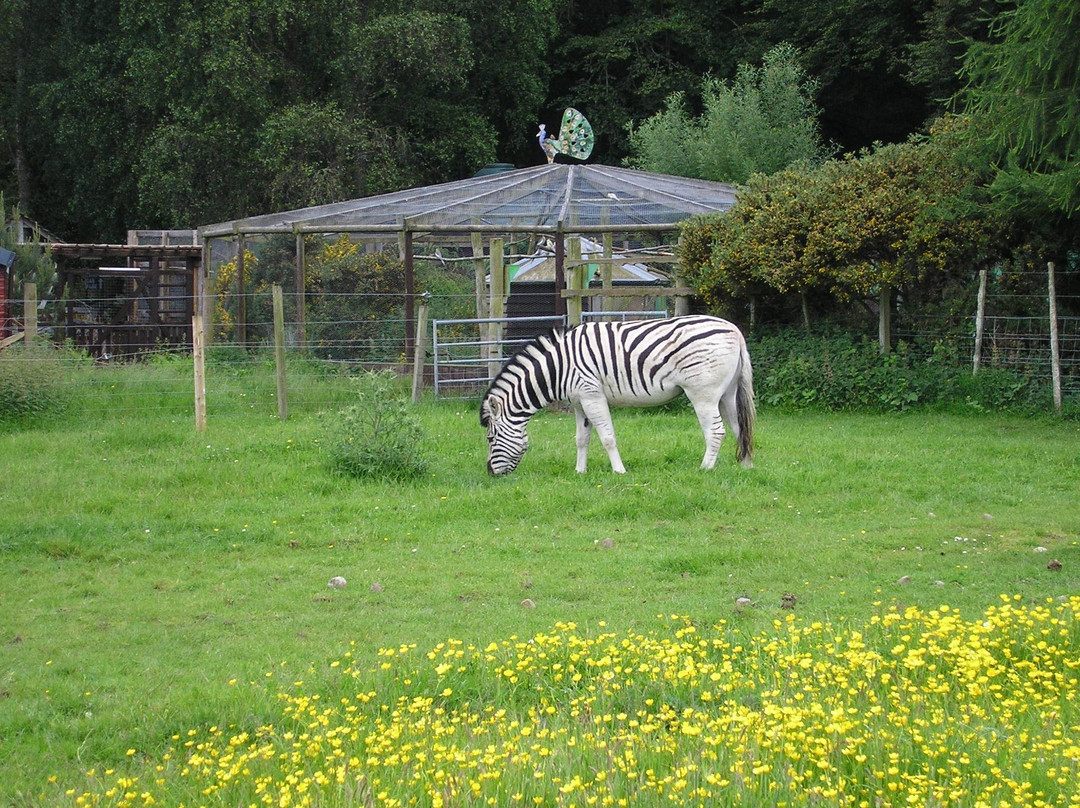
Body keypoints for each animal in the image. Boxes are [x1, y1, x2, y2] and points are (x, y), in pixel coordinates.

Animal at [477, 313, 756, 473]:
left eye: (490, 439)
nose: (490, 473)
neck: (558, 367)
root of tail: (735, 330)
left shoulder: (592, 395)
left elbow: (607, 437)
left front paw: (619, 471)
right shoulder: (579, 402)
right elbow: (582, 439)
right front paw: (580, 472)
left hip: (703, 394)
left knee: (716, 431)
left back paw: (705, 468)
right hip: (727, 394)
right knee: (739, 428)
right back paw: (746, 466)